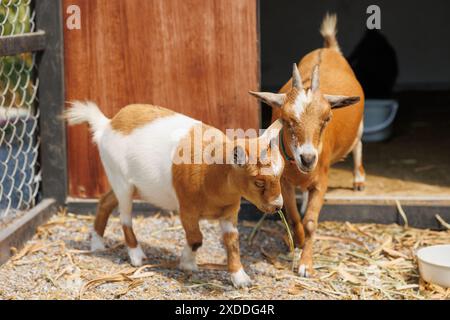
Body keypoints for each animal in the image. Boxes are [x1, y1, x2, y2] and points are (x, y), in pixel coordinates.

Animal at [64, 103, 284, 288]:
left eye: (281, 174)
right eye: (258, 182)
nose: (278, 206)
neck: (211, 173)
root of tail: (107, 124)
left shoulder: (229, 212)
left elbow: (232, 243)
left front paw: (240, 279)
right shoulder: (187, 209)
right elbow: (196, 238)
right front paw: (187, 263)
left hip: (128, 184)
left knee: (105, 201)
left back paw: (97, 245)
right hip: (121, 180)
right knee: (124, 216)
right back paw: (137, 256)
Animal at [250, 13, 366, 276]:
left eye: (327, 118)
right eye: (286, 118)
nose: (308, 158)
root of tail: (328, 49)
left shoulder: (321, 181)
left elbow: (312, 222)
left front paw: (306, 264)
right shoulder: (284, 182)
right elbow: (294, 218)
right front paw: (298, 240)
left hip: (360, 128)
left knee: (358, 144)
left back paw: (359, 180)